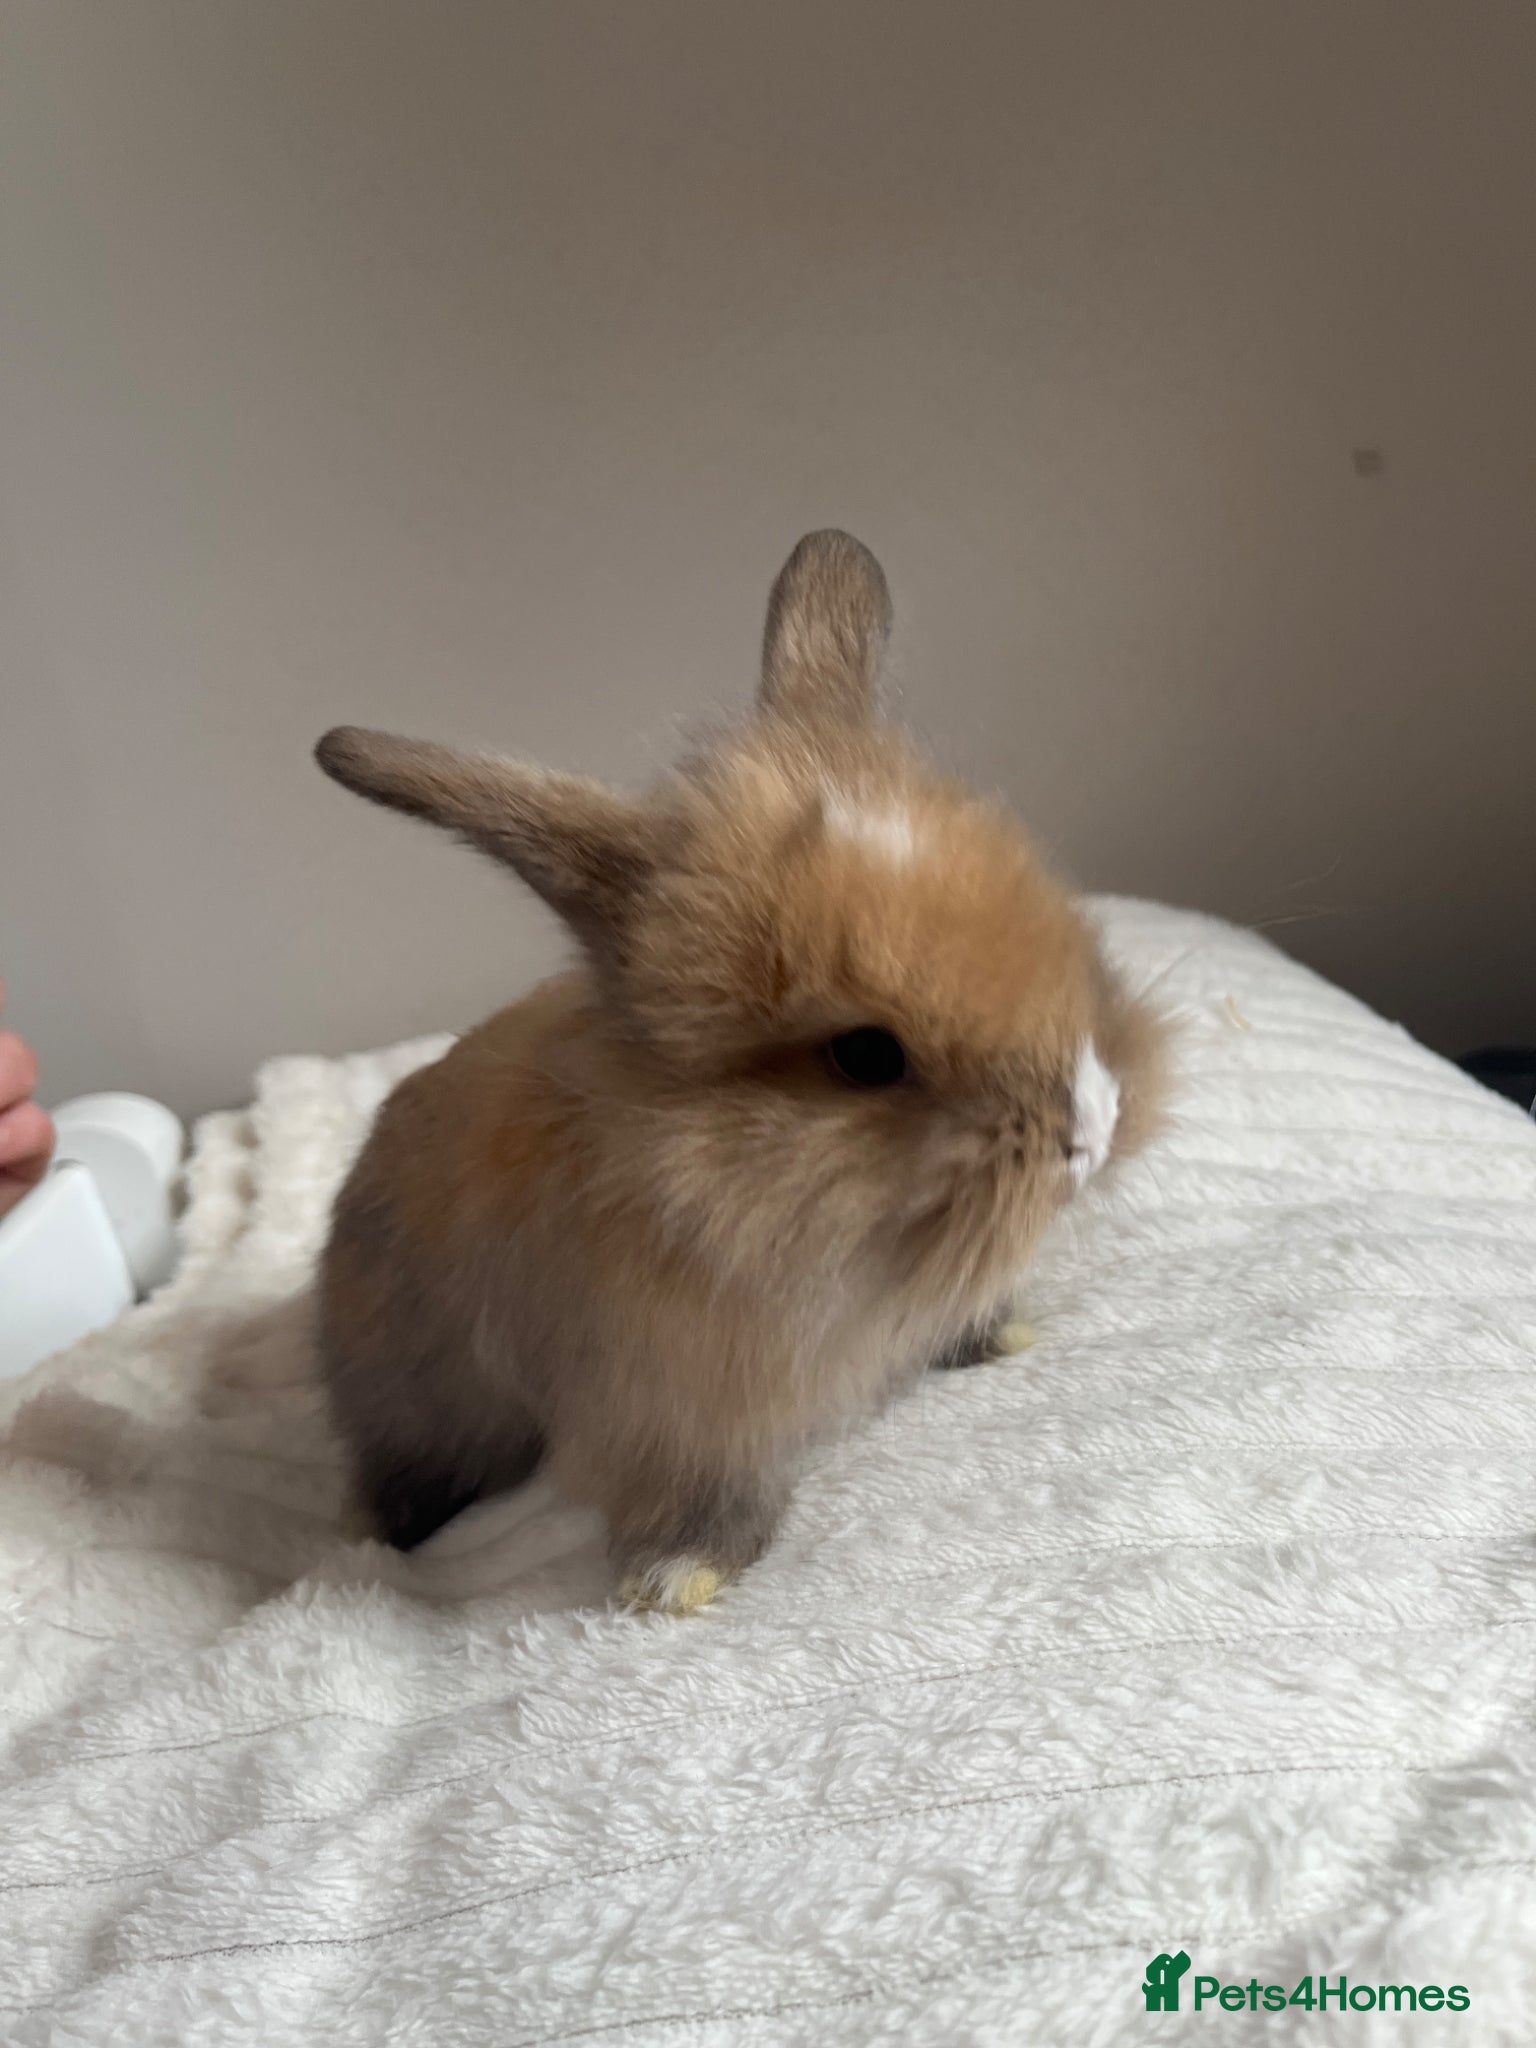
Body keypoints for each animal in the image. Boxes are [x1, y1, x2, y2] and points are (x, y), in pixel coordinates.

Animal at [313, 530, 1167, 1611]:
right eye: (866, 1054)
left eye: (1063, 930)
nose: (1091, 1131)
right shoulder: (676, 1416)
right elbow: (712, 1495)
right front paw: (681, 1579)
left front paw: (1002, 1337)